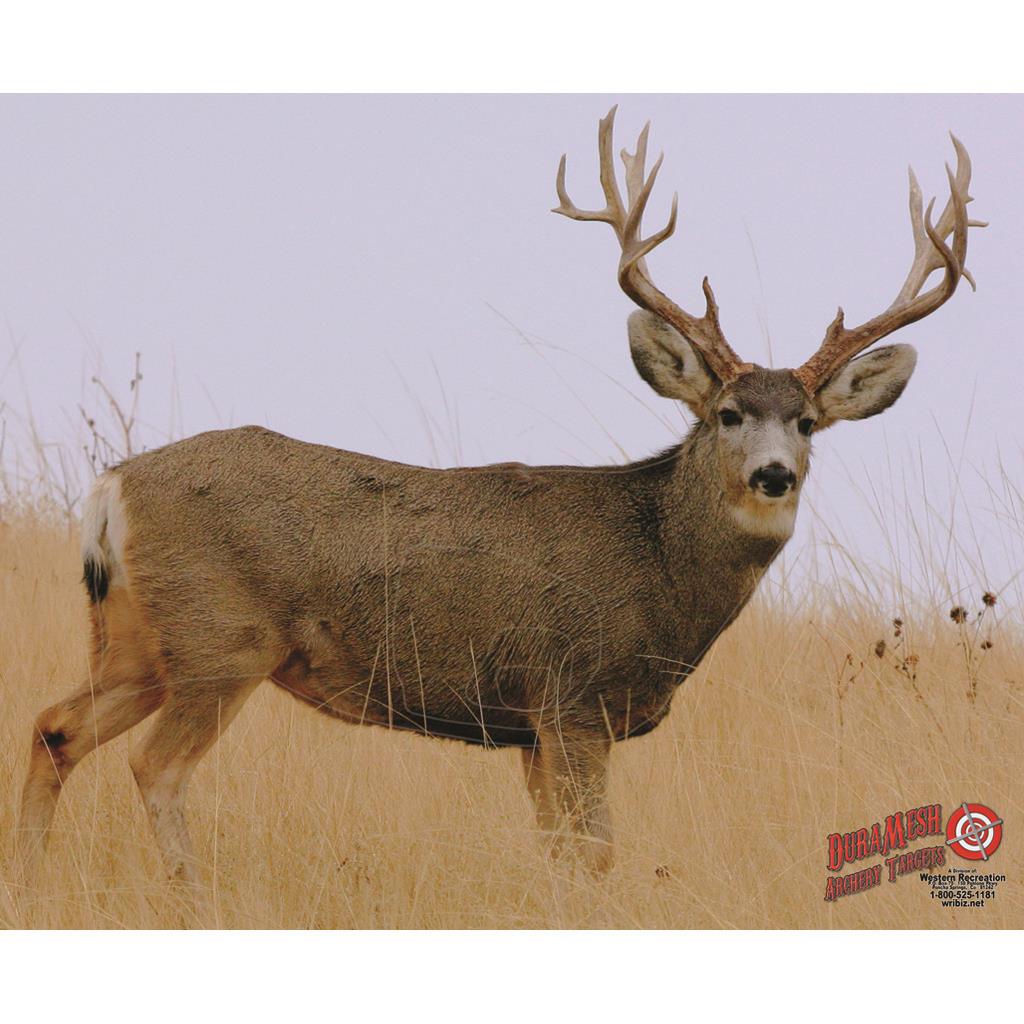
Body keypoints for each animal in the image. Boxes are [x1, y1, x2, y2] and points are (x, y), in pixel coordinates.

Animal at [18, 108, 982, 888]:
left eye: (811, 422)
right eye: (729, 413)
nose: (773, 474)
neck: (661, 570)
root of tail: (111, 486)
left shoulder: (530, 728)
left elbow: (557, 853)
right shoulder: (573, 697)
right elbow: (595, 854)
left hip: (138, 637)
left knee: (52, 726)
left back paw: (30, 880)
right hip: (221, 639)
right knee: (153, 767)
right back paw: (188, 894)